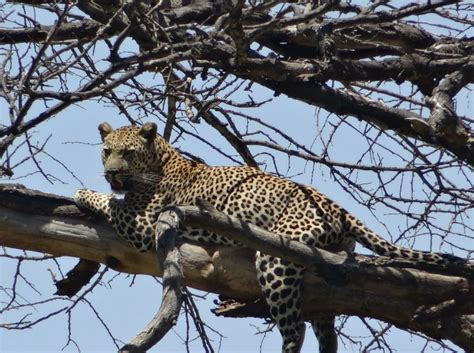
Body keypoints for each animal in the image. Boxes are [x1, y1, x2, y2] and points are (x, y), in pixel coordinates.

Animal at [75, 121, 470, 352]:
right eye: (106, 151)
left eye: (127, 153)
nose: (111, 173)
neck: (161, 158)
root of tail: (339, 209)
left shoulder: (144, 222)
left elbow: (110, 202)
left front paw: (83, 193)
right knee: (326, 328)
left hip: (276, 257)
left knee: (296, 330)